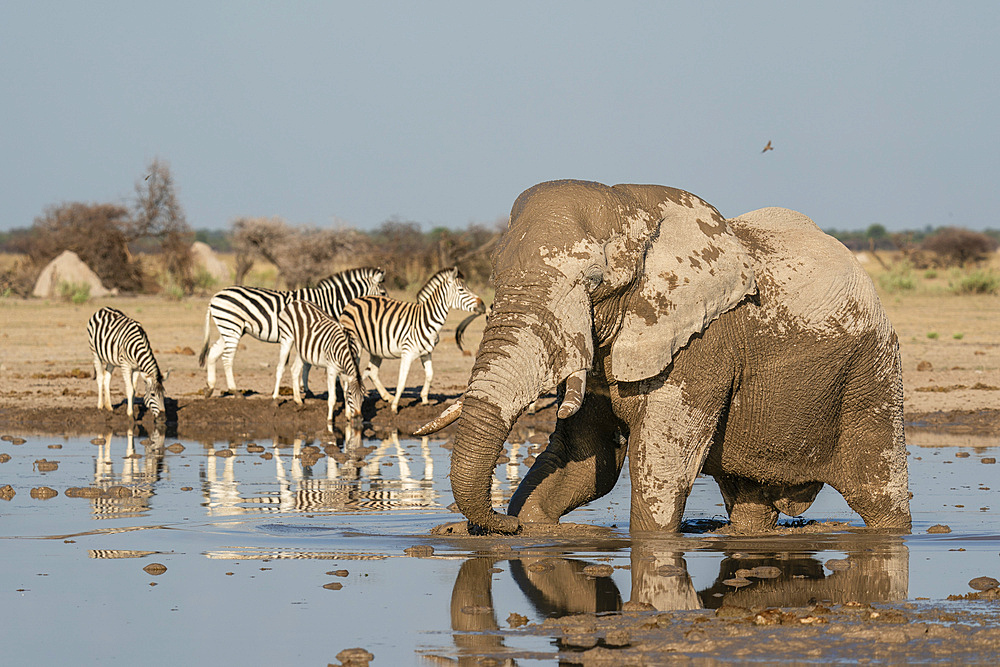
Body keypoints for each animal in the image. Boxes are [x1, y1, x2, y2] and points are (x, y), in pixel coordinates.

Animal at [197, 266, 384, 400]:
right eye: (382, 292)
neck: (328, 302)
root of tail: (215, 296)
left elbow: (307, 362)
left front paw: (306, 389)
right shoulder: (312, 330)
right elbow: (307, 363)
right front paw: (307, 389)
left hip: (230, 328)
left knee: (213, 352)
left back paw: (210, 388)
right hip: (232, 327)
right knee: (227, 358)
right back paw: (235, 391)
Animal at [340, 266, 488, 412]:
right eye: (462, 290)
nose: (483, 305)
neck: (426, 318)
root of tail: (354, 300)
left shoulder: (427, 352)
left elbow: (430, 375)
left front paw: (424, 400)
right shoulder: (407, 353)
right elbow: (402, 380)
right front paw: (395, 407)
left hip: (376, 349)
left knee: (372, 372)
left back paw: (387, 397)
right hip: (355, 345)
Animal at [418, 180, 912, 536]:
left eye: (593, 282)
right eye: (494, 276)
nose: (501, 523)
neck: (635, 211)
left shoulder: (704, 342)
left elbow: (661, 461)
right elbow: (585, 461)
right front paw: (531, 525)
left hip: (871, 370)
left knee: (878, 490)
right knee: (749, 504)